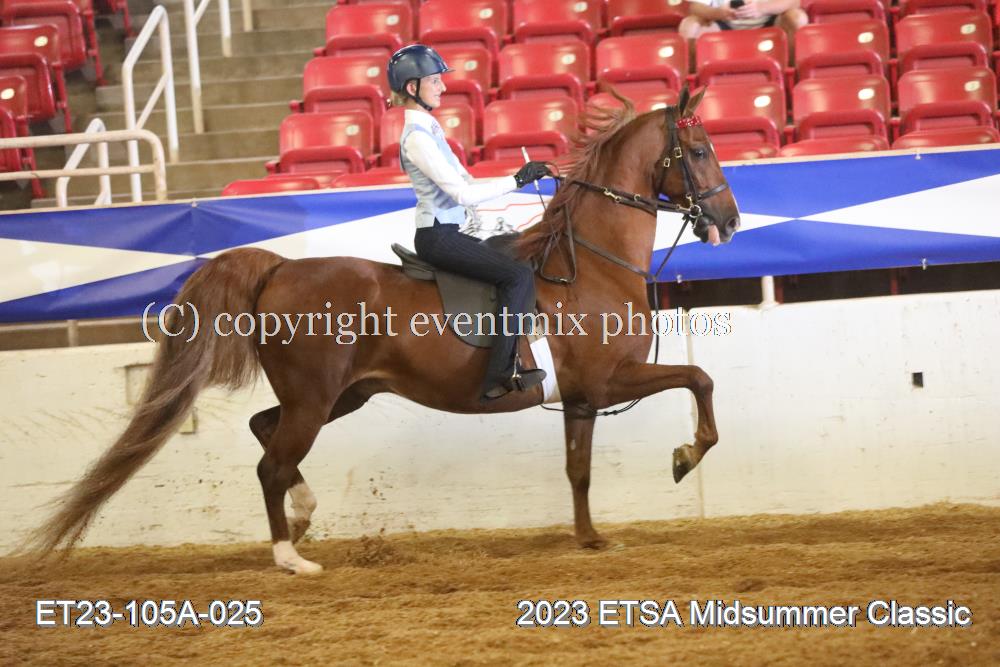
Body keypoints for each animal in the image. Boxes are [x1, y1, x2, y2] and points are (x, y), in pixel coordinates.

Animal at [25, 87, 740, 574]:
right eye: (700, 150)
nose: (730, 221)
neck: (588, 261)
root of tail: (280, 267)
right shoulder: (607, 379)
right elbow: (700, 379)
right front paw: (685, 456)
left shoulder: (584, 397)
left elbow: (579, 470)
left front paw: (591, 538)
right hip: (316, 399)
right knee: (271, 461)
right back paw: (290, 556)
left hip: (342, 395)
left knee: (265, 435)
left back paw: (303, 518)